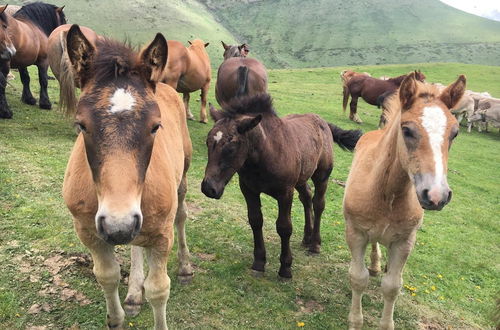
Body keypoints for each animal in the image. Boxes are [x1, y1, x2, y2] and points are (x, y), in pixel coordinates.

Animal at [62, 24, 193, 328]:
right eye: (81, 124)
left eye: (156, 126)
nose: (118, 225)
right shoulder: (88, 231)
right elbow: (106, 276)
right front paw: (120, 311)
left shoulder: (161, 234)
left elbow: (159, 289)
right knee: (134, 243)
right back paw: (134, 293)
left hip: (183, 177)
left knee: (181, 215)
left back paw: (184, 267)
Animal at [201, 93, 362, 278]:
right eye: (207, 142)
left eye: (231, 148)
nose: (208, 188)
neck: (264, 155)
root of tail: (324, 123)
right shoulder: (248, 189)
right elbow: (255, 220)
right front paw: (259, 262)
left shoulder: (285, 192)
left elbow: (284, 227)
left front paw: (285, 268)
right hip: (301, 178)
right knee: (306, 197)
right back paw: (307, 237)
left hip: (322, 176)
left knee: (318, 203)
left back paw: (315, 244)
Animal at [344, 73, 464, 330]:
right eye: (407, 130)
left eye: (455, 133)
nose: (437, 195)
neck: (387, 193)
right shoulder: (355, 233)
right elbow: (358, 278)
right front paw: (356, 321)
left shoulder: (405, 241)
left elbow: (392, 286)